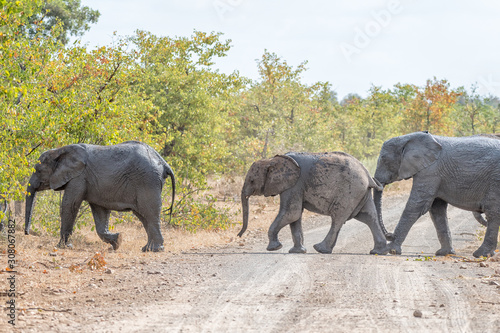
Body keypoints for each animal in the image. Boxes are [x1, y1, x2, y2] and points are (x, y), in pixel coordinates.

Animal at [24, 140, 176, 252]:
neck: (59, 151)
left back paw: (154, 249)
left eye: (37, 170)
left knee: (149, 213)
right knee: (143, 216)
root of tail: (163, 162)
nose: (27, 233)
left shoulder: (79, 177)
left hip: (147, 181)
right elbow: (100, 212)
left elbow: (70, 205)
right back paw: (147, 248)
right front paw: (118, 241)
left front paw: (62, 247)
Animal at [237, 151, 386, 254]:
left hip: (350, 191)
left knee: (338, 219)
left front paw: (274, 248)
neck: (272, 160)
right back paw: (377, 252)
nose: (239, 235)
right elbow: (295, 217)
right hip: (361, 193)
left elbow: (291, 213)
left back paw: (320, 249)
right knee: (368, 217)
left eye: (251, 180)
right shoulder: (294, 186)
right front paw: (298, 252)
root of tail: (368, 175)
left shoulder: (294, 185)